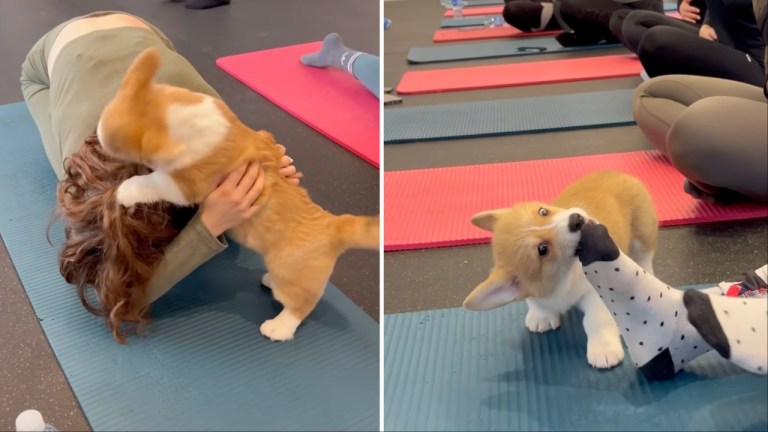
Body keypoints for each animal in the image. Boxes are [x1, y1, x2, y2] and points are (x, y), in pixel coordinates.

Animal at [97, 47, 380, 342]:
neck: (176, 114)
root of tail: (335, 225)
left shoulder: (186, 184)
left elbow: (152, 181)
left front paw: (127, 189)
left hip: (290, 273)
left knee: (301, 305)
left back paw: (279, 327)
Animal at [462, 171, 660, 368]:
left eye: (543, 211)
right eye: (542, 249)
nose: (576, 219)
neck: (563, 277)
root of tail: (615, 172)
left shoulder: (596, 294)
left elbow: (595, 320)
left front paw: (603, 350)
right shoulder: (533, 293)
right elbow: (536, 304)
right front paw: (540, 317)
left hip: (642, 234)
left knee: (645, 257)